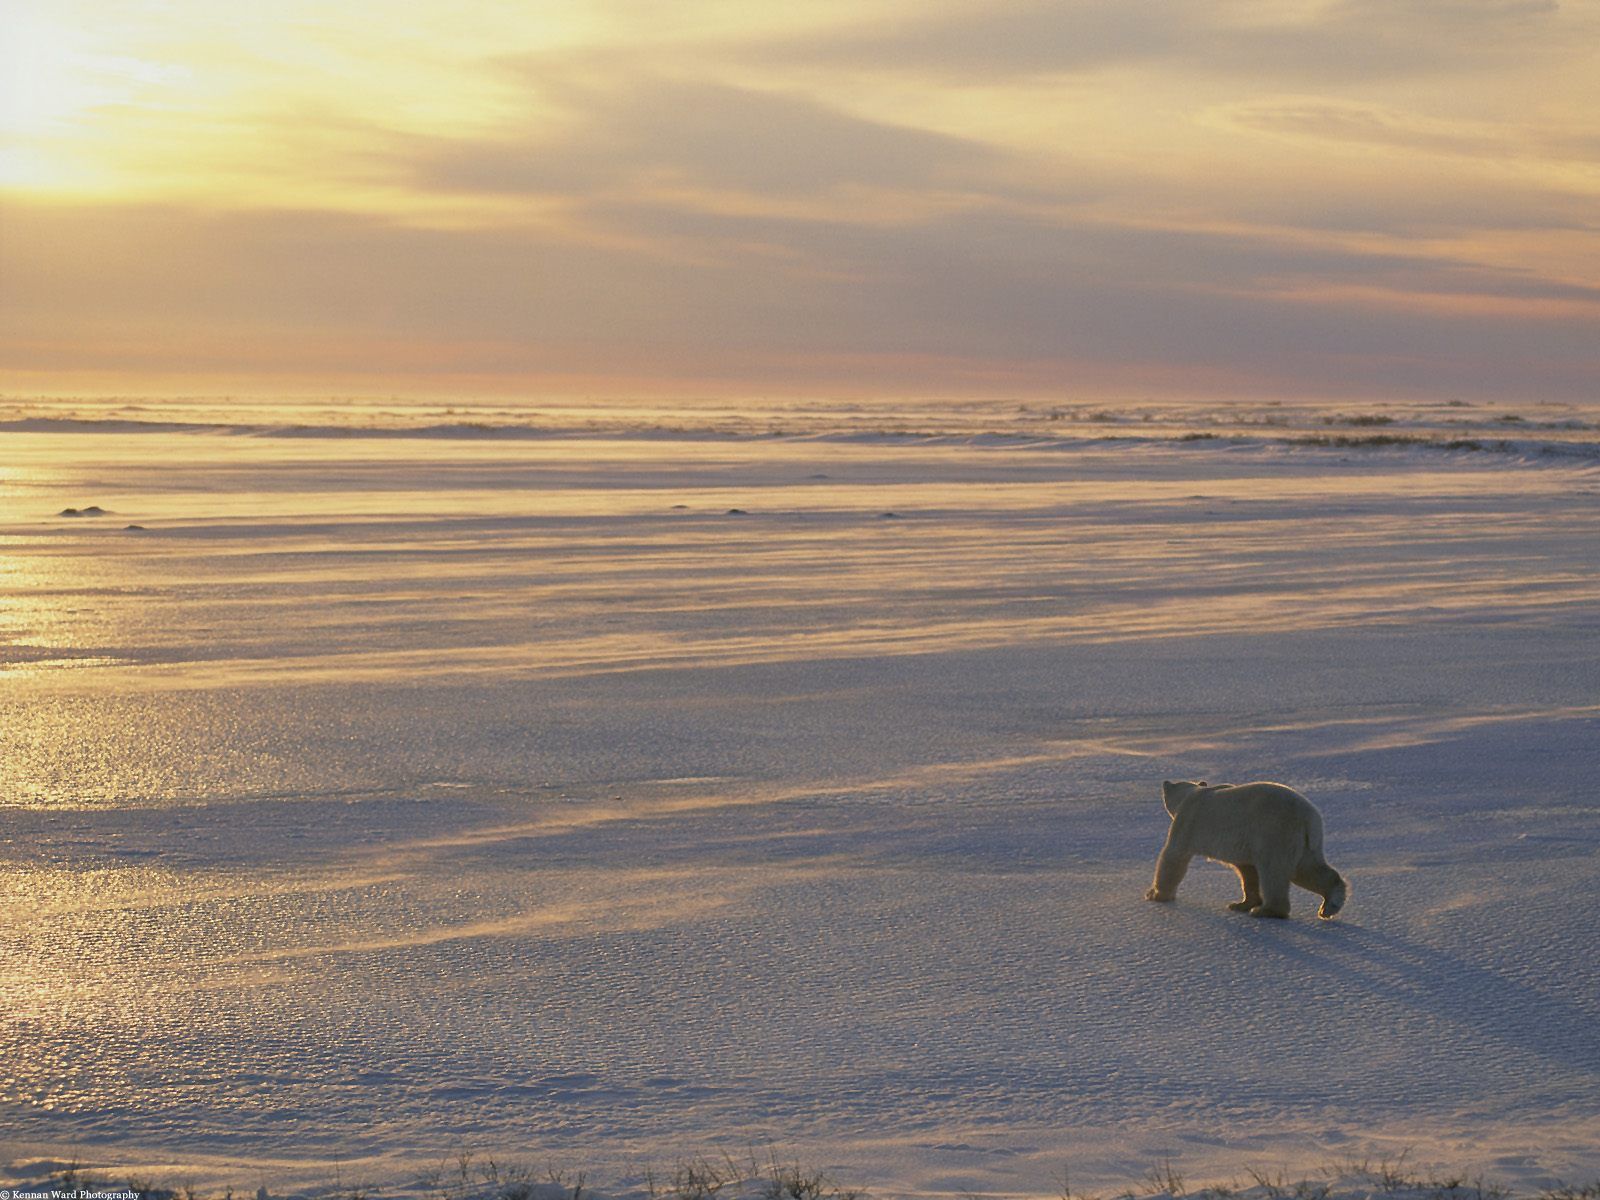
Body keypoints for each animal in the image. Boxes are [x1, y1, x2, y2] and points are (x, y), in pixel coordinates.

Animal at [1144, 779, 1347, 919]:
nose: (1164, 783)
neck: (1192, 794)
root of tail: (1310, 817)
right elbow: (1247, 870)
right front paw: (1241, 904)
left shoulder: (1187, 823)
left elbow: (1173, 856)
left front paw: (1155, 894)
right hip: (1304, 843)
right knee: (1307, 870)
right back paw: (1330, 904)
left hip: (1276, 832)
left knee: (1273, 872)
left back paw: (1265, 910)